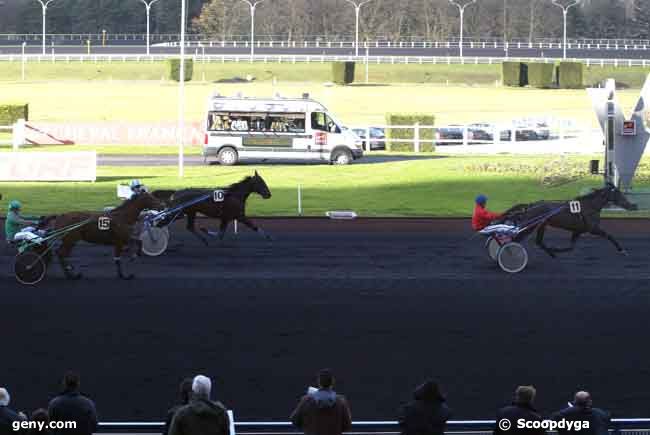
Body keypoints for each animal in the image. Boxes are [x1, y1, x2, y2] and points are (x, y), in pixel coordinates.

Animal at [502, 185, 632, 258]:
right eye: (619, 194)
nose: (631, 205)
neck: (590, 206)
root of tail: (531, 205)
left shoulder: (578, 231)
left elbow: (571, 247)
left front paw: (555, 249)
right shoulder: (593, 229)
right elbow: (609, 236)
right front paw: (622, 250)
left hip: (541, 225)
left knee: (538, 242)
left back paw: (552, 254)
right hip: (531, 226)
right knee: (516, 239)